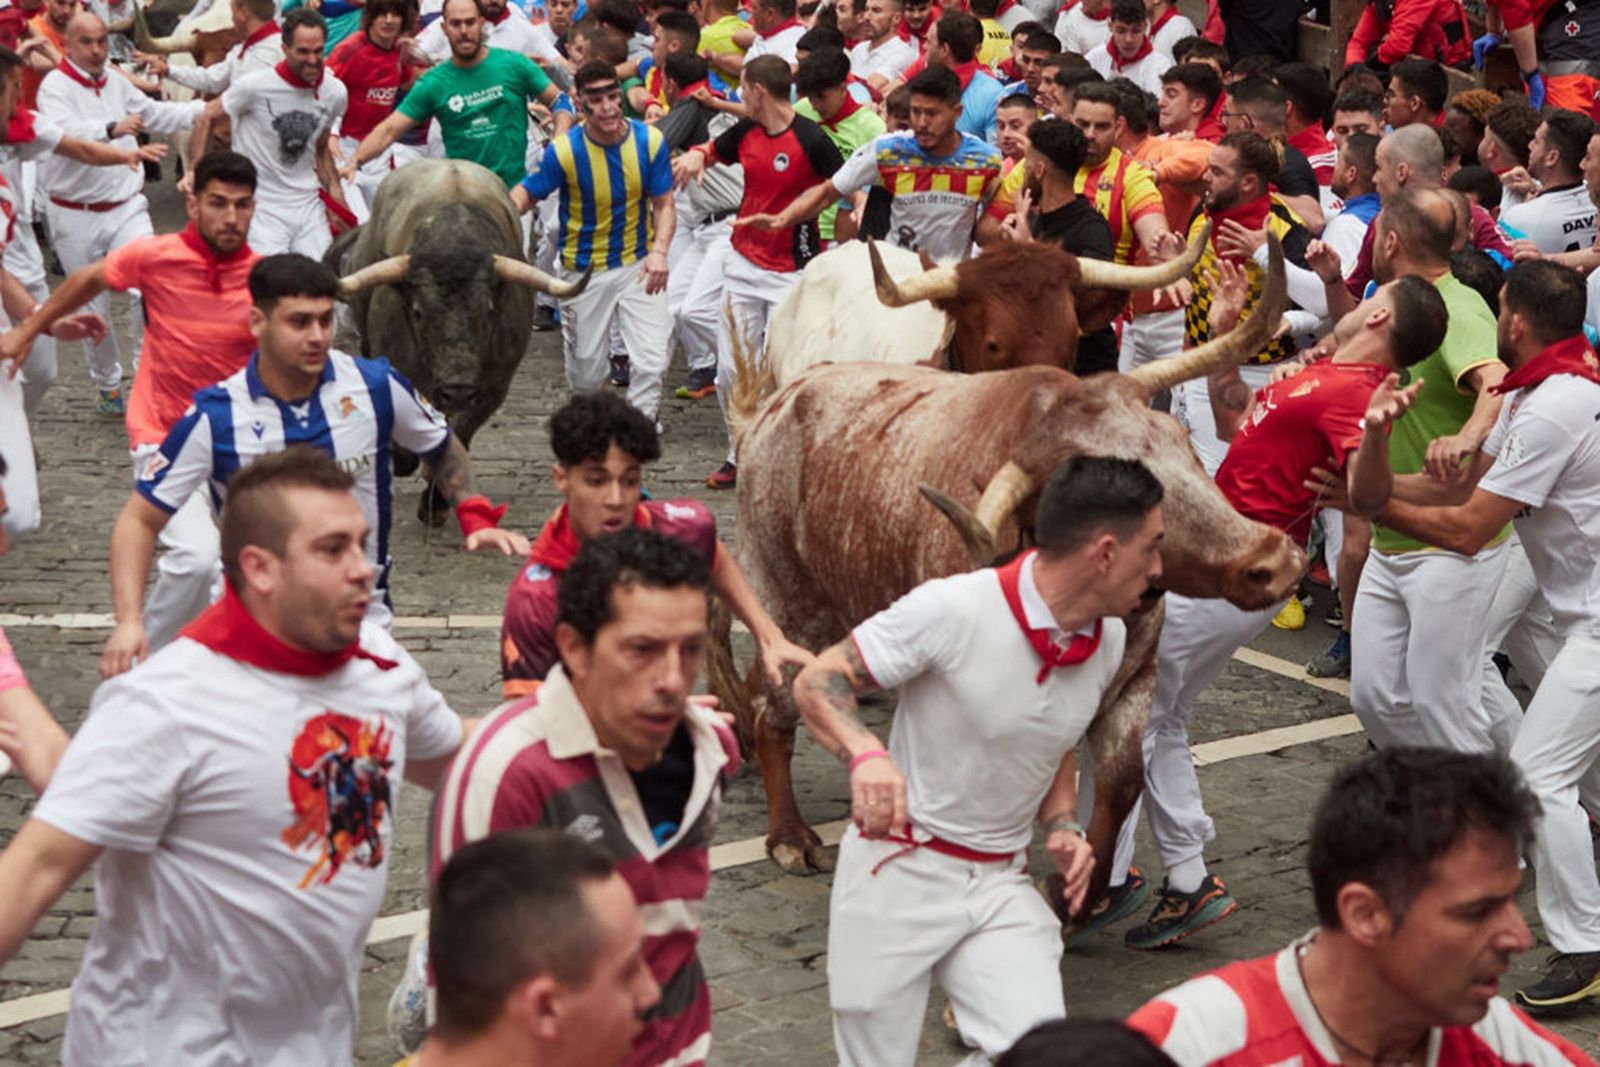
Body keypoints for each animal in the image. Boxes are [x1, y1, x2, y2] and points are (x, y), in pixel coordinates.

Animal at [328, 158, 585, 521]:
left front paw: (435, 501)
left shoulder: (493, 387)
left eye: (488, 309)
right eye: (418, 312)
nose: (457, 389)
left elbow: (461, 433)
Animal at [710, 241, 1299, 927]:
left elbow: (1122, 786)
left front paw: (1079, 896)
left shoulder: (1135, 685)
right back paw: (789, 835)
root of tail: (776, 408)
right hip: (785, 599)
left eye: (1182, 444)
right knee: (769, 698)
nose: (1271, 559)